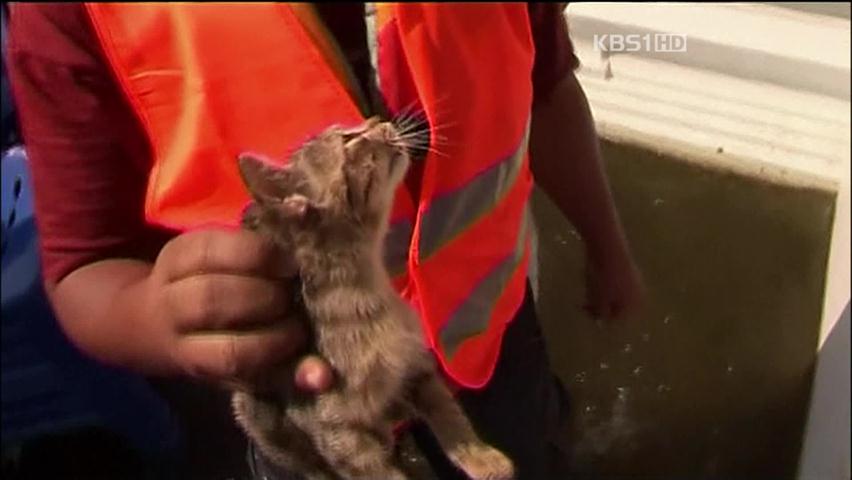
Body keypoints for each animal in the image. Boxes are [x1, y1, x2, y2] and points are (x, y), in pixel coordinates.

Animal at [230, 117, 516, 480]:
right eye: (348, 139)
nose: (378, 121)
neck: (368, 291)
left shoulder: (415, 368)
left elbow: (449, 415)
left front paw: (482, 459)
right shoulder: (338, 430)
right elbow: (377, 473)